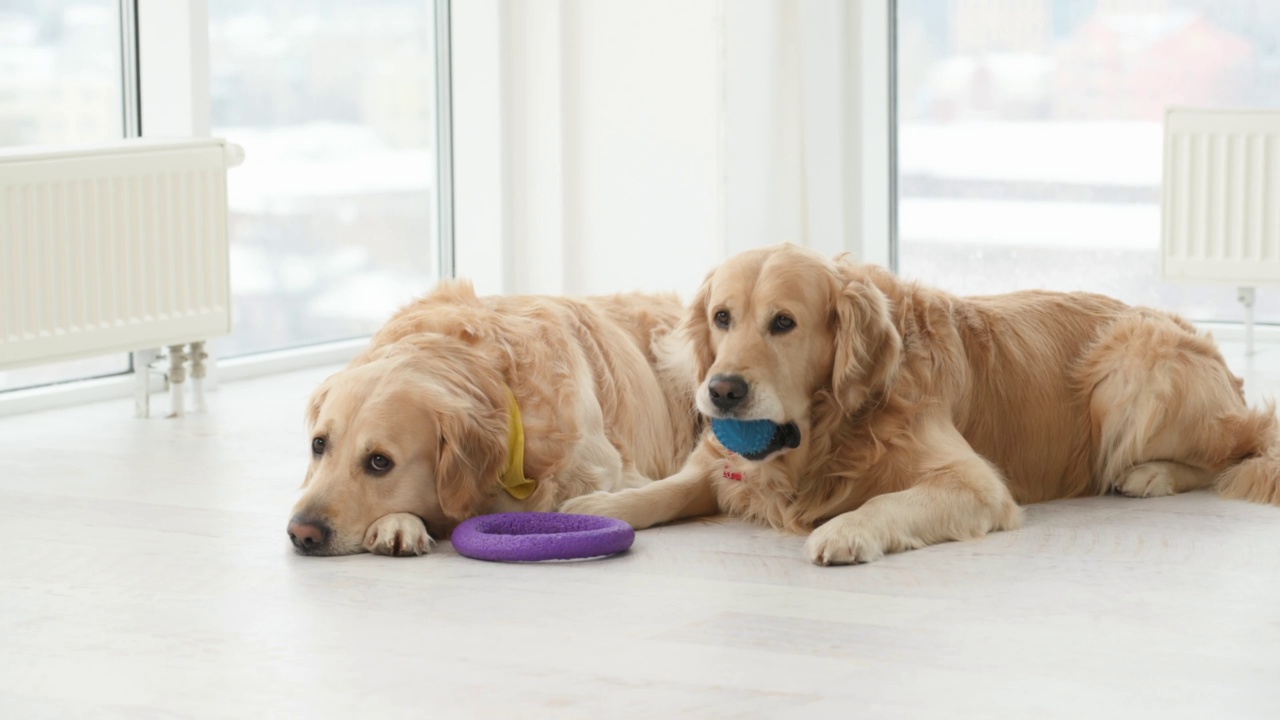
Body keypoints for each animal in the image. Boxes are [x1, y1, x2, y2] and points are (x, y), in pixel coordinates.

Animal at [565, 243, 1280, 563]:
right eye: (721, 317)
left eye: (783, 323)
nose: (722, 391)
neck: (835, 425)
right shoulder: (722, 463)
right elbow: (667, 489)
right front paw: (601, 504)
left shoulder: (976, 484)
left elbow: (887, 501)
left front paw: (845, 529)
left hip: (1131, 366)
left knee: (1235, 448)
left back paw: (1150, 474)